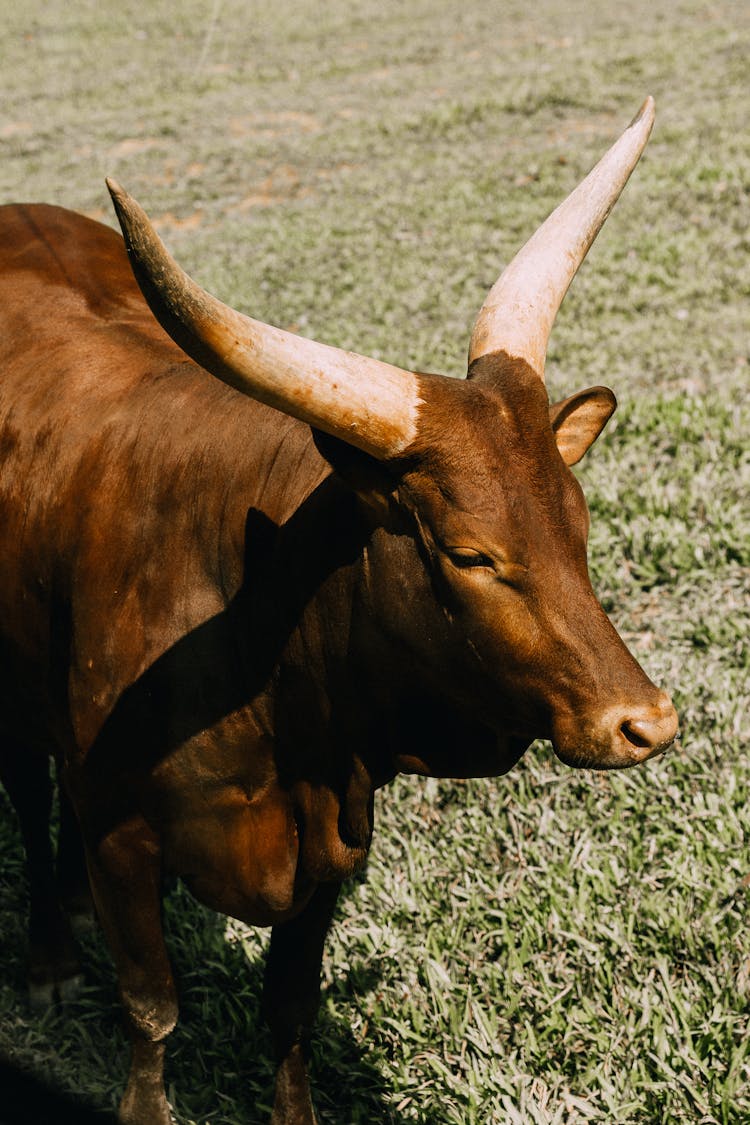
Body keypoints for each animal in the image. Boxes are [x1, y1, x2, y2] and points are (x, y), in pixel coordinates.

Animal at [0, 99, 679, 1125]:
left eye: (580, 522)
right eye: (470, 554)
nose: (646, 722)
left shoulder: (331, 843)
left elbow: (290, 1007)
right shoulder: (121, 829)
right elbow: (151, 1007)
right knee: (31, 797)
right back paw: (47, 951)